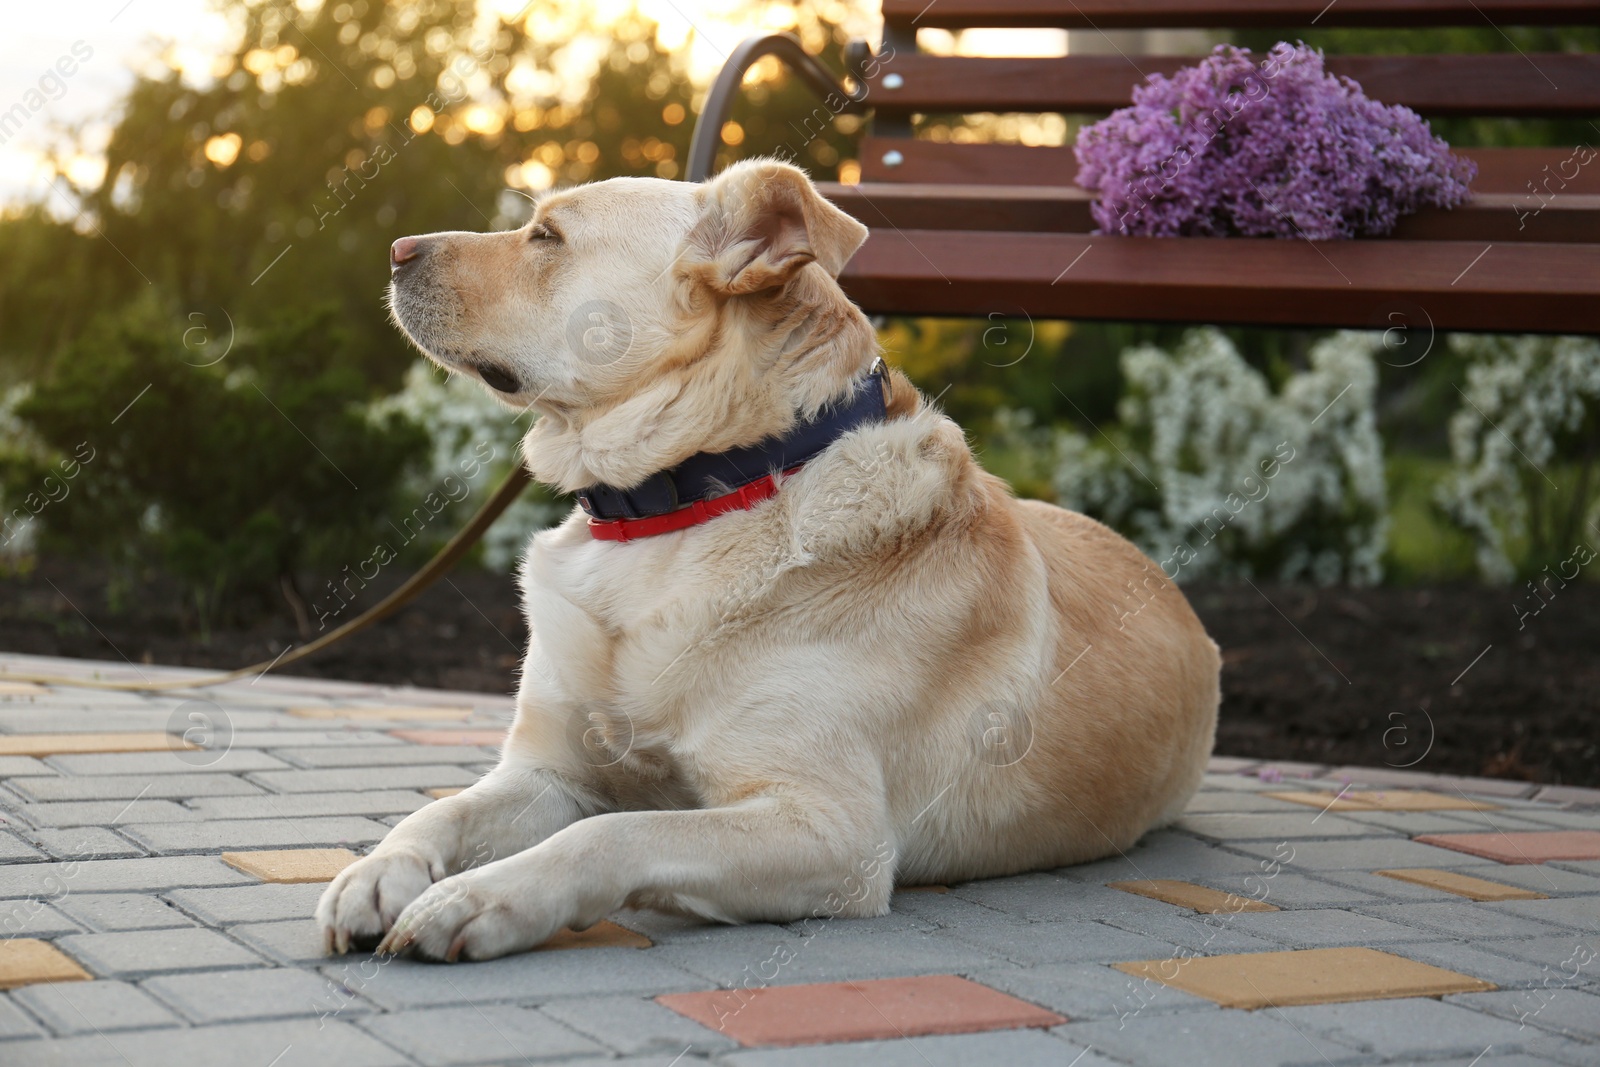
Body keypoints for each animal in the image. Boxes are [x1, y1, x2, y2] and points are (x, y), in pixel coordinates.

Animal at [312, 160, 1216, 966]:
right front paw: (379, 870)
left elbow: (612, 833)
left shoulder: (833, 830)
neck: (687, 503)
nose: (395, 248)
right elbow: (442, 810)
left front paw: (481, 897)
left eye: (547, 236)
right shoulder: (549, 770)